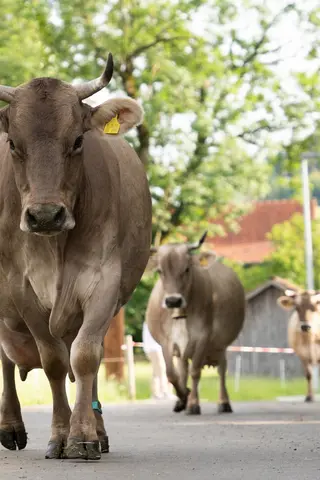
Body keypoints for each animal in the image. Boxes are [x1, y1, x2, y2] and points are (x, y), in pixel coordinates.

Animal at [0, 53, 152, 462]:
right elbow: (53, 361)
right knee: (6, 361)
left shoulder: (104, 282)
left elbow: (85, 356)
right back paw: (10, 427)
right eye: (13, 143)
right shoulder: (21, 288)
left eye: (78, 140)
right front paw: (59, 434)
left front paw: (82, 435)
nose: (44, 215)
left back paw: (97, 430)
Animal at [145, 232, 245, 412]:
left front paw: (192, 403)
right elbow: (172, 374)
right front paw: (184, 396)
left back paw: (224, 402)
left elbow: (195, 372)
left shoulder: (203, 337)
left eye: (186, 269)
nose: (173, 300)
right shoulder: (166, 342)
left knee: (221, 370)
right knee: (183, 369)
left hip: (220, 346)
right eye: (160, 271)